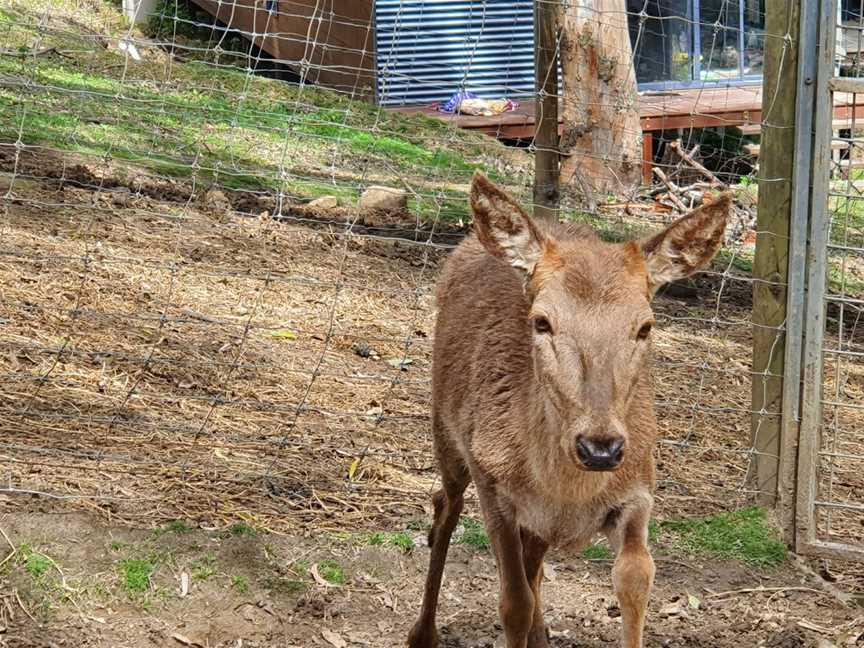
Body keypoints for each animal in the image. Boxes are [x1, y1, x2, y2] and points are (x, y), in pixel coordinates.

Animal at [404, 172, 728, 648]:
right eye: (542, 321)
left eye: (645, 326)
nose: (600, 448)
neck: (564, 488)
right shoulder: (493, 485)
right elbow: (513, 601)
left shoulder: (638, 489)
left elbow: (636, 578)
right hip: (445, 430)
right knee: (445, 506)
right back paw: (423, 632)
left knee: (533, 557)